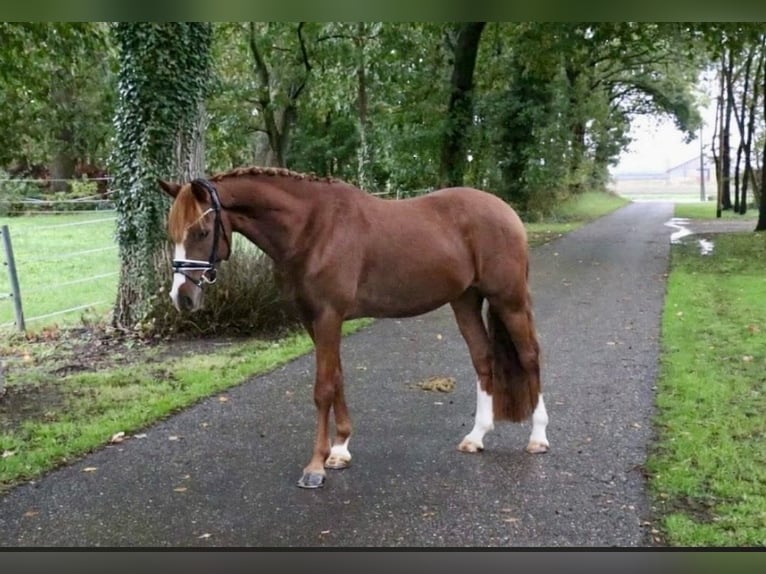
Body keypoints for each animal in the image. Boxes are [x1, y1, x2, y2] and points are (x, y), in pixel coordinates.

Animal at [158, 166, 549, 489]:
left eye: (202, 231)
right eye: (172, 234)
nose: (182, 298)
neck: (312, 229)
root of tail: (505, 211)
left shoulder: (329, 316)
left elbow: (323, 389)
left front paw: (315, 467)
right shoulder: (313, 320)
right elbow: (338, 378)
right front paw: (340, 449)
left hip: (509, 300)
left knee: (529, 357)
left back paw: (538, 438)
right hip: (465, 300)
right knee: (483, 359)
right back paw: (476, 437)